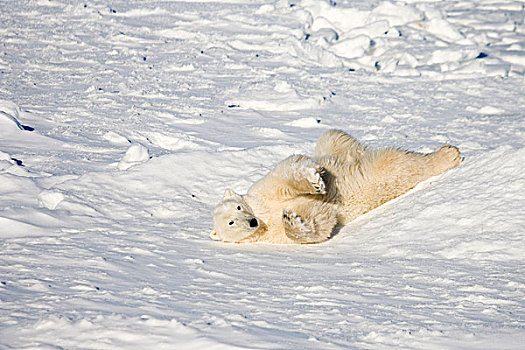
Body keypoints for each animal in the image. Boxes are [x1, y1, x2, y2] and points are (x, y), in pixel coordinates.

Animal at [209, 130, 458, 245]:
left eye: (238, 207)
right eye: (231, 223)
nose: (252, 222)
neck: (264, 217)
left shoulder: (261, 192)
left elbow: (284, 178)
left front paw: (315, 181)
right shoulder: (273, 236)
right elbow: (320, 220)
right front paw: (292, 220)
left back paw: (449, 154)